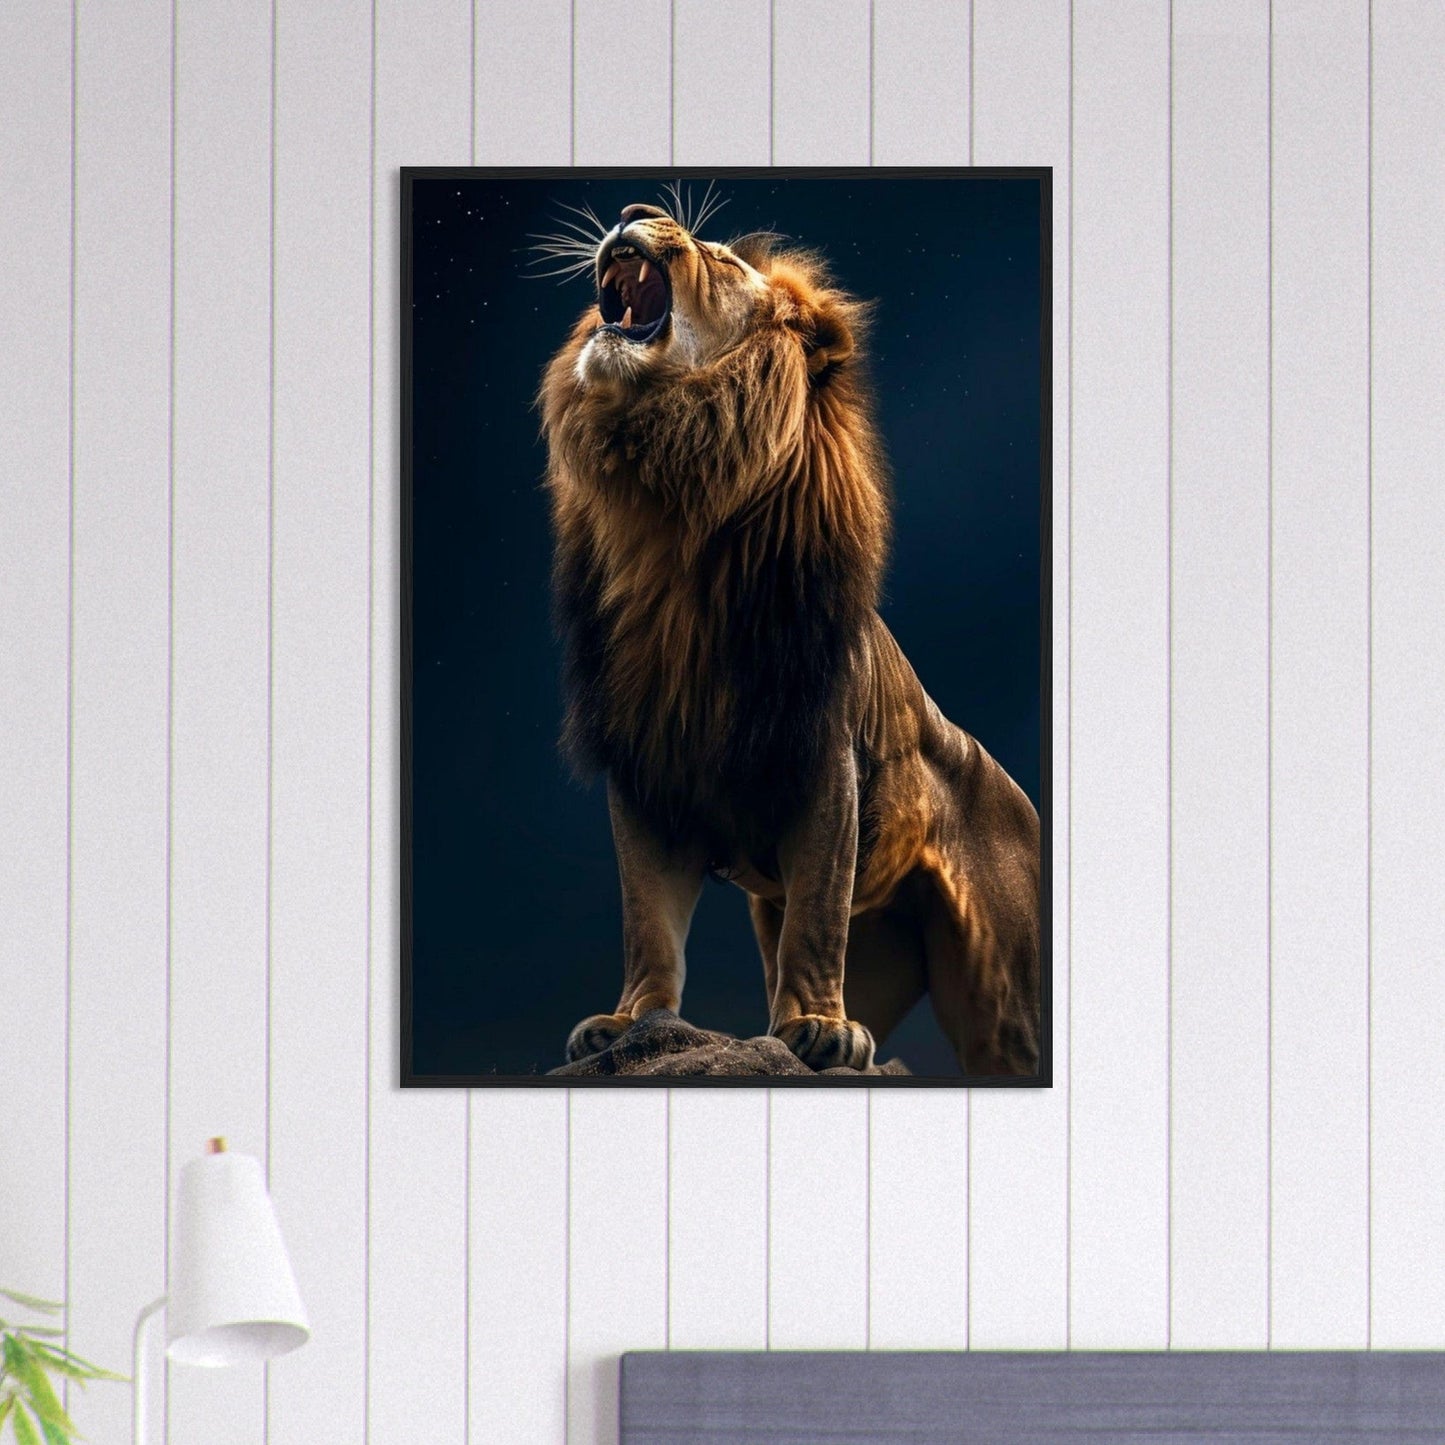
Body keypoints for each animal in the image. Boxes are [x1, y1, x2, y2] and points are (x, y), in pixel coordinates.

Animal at [538, 198, 1041, 1076]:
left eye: (717, 259)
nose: (635, 210)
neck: (666, 508)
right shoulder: (644, 764)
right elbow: (647, 919)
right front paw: (629, 1020)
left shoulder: (821, 758)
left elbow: (815, 910)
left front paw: (817, 1027)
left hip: (1007, 1002)